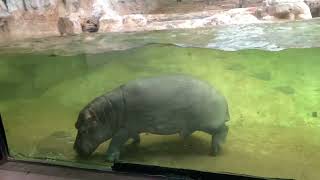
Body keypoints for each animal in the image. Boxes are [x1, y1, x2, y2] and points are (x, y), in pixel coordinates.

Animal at [74, 74, 229, 162]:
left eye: (84, 130)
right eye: (76, 125)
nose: (75, 148)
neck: (106, 114)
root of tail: (223, 98)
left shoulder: (124, 129)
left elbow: (115, 141)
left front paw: (109, 159)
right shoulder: (132, 128)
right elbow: (135, 136)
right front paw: (135, 143)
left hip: (208, 123)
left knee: (223, 129)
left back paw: (214, 151)